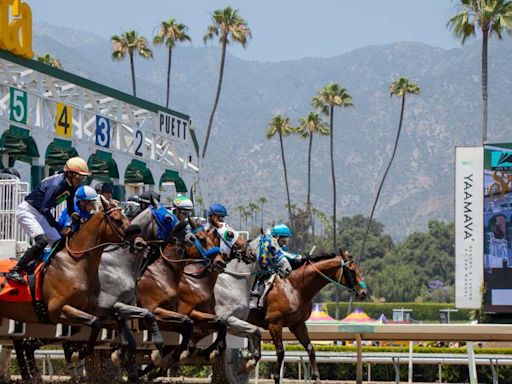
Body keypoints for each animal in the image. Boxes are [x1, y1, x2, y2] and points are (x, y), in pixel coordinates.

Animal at [248, 249, 368, 384]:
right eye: (351, 270)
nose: (363, 292)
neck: (294, 288)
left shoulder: (298, 325)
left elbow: (311, 348)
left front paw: (317, 378)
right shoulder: (274, 324)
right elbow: (280, 352)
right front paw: (276, 377)